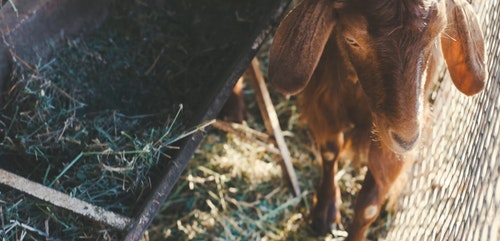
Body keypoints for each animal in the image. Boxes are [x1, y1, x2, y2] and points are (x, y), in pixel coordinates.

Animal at [268, 0, 486, 240]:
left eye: (437, 34)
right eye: (352, 40)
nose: (407, 139)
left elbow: (369, 207)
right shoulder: (325, 95)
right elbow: (330, 150)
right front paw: (325, 212)